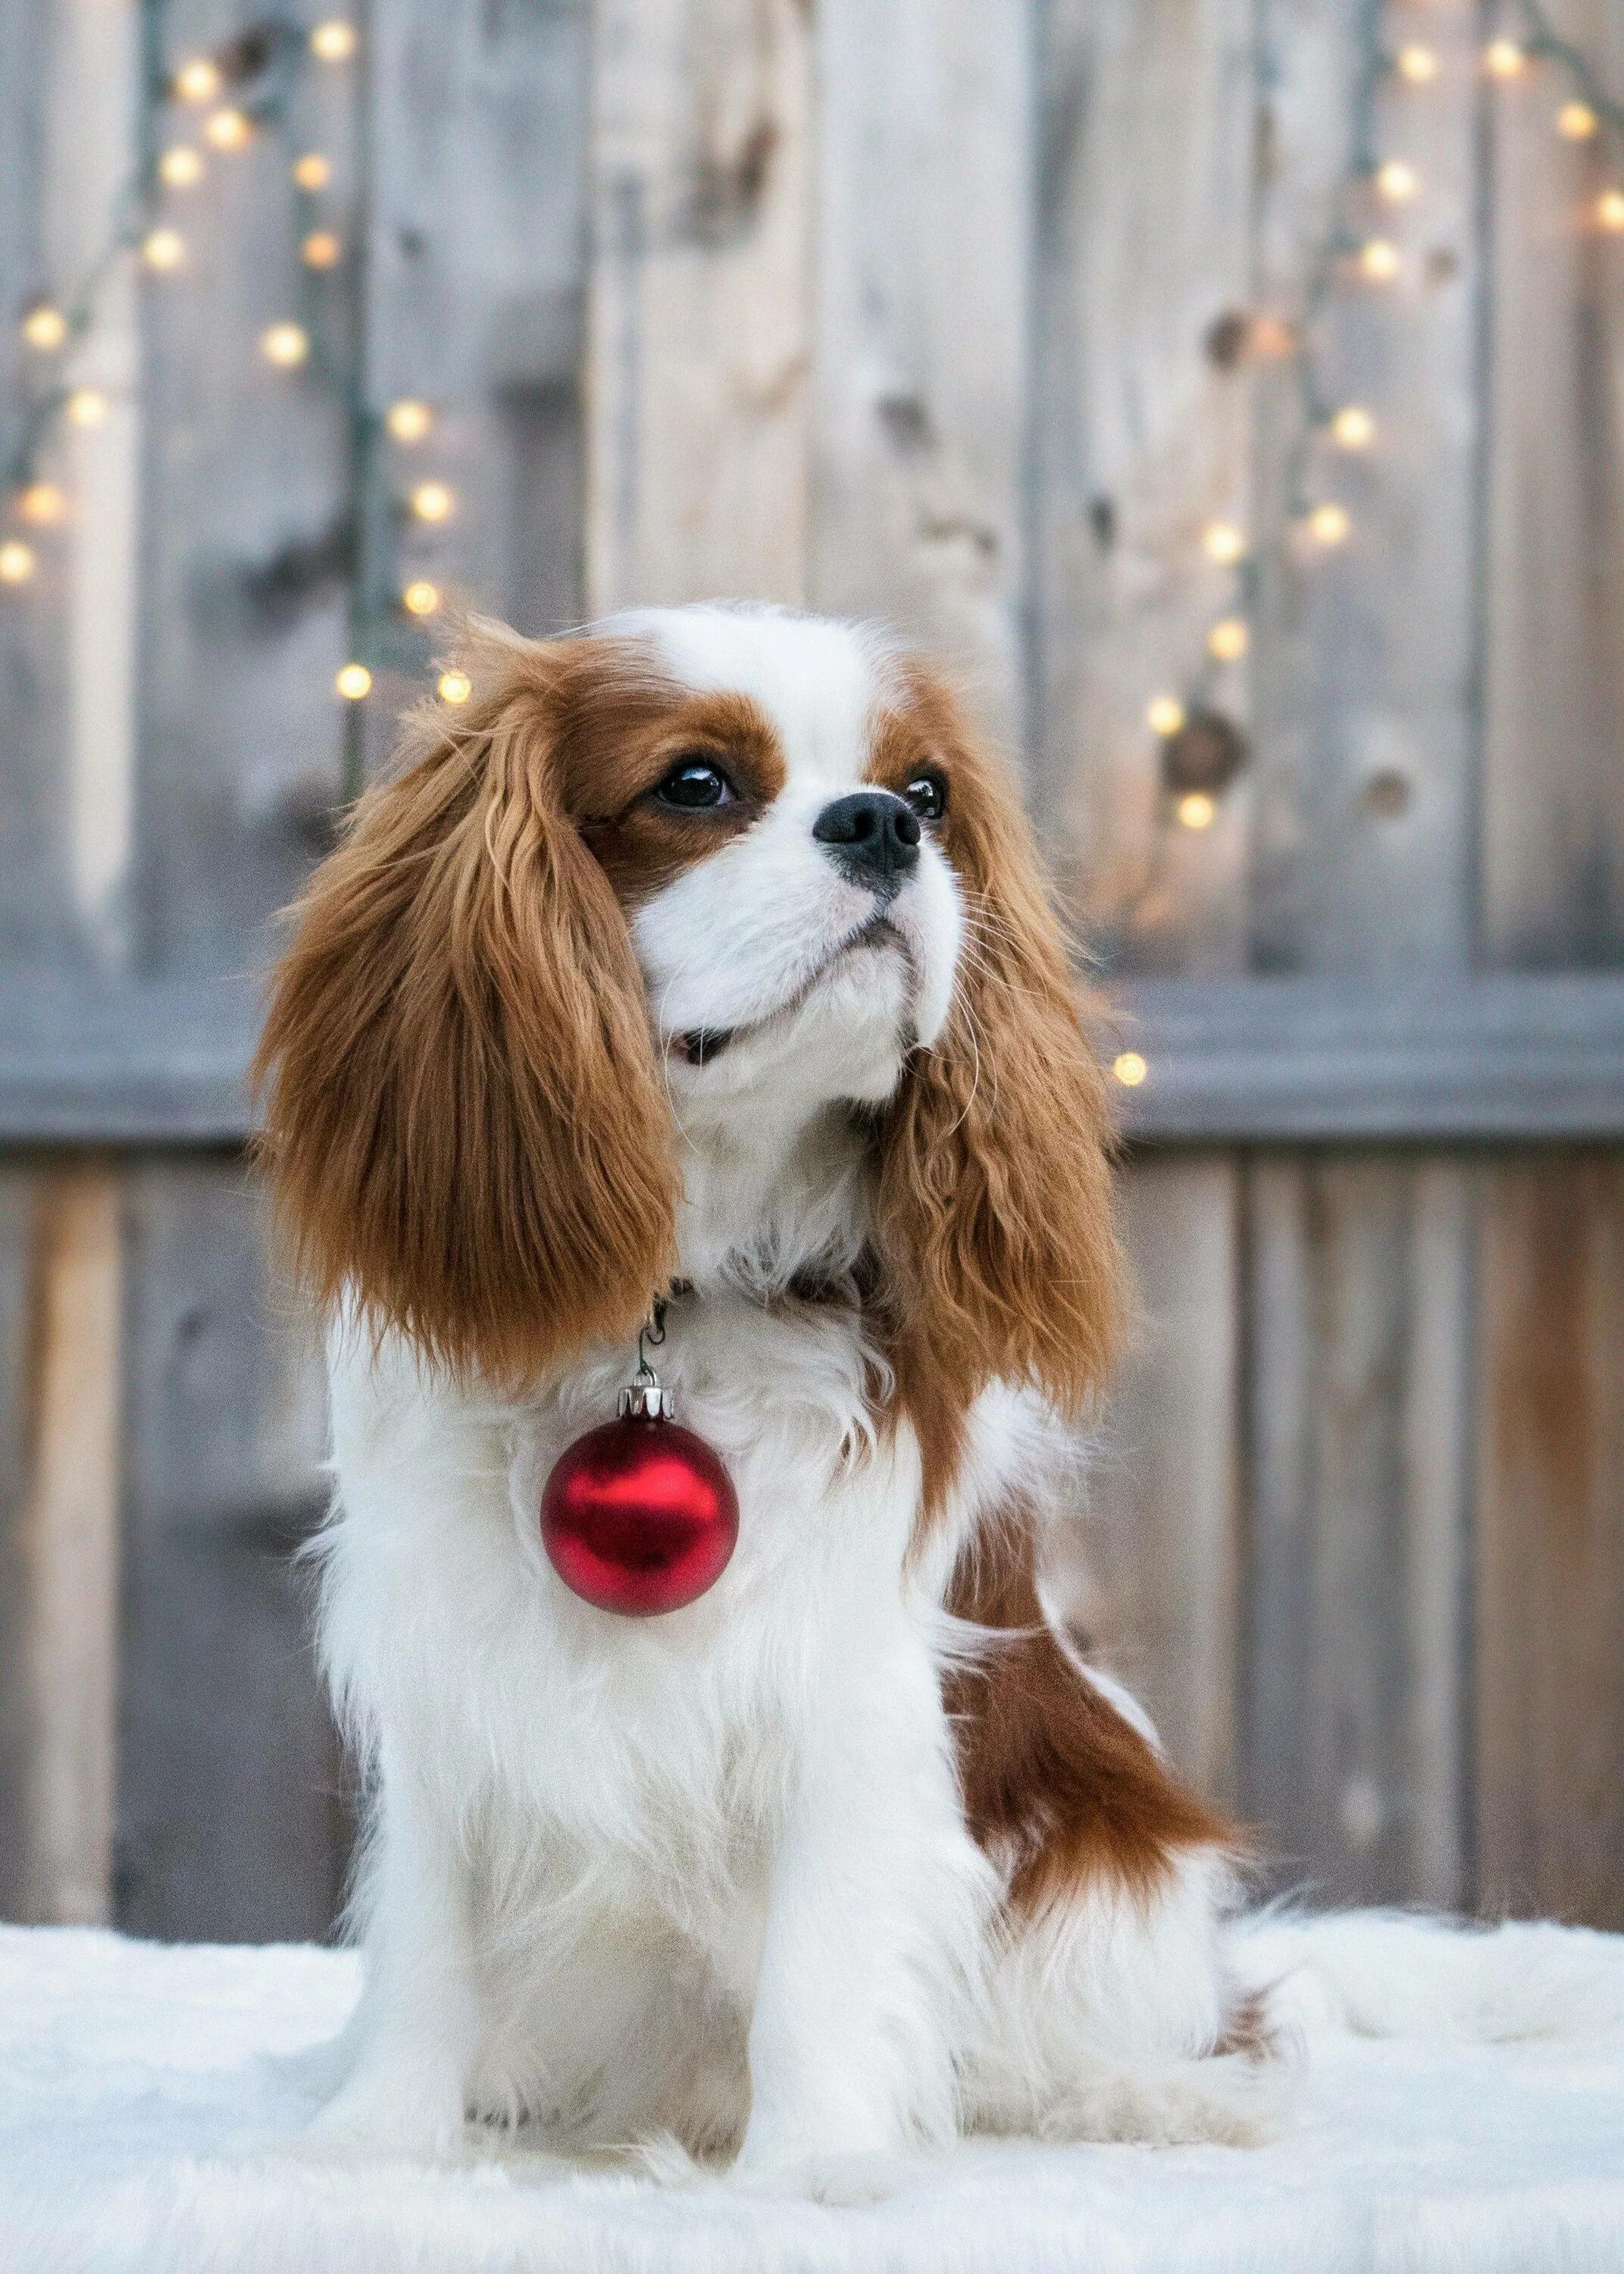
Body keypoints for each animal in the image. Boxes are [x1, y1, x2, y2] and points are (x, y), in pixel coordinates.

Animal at [259, 605, 1273, 2183]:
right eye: (693, 785)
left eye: (926, 796)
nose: (878, 826)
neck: (680, 1302)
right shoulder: (449, 1662)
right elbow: (426, 1933)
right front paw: (378, 2141)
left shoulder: (843, 1679)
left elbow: (824, 1957)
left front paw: (812, 2173)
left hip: (1115, 1867)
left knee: (1175, 2036)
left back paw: (1152, 2096)